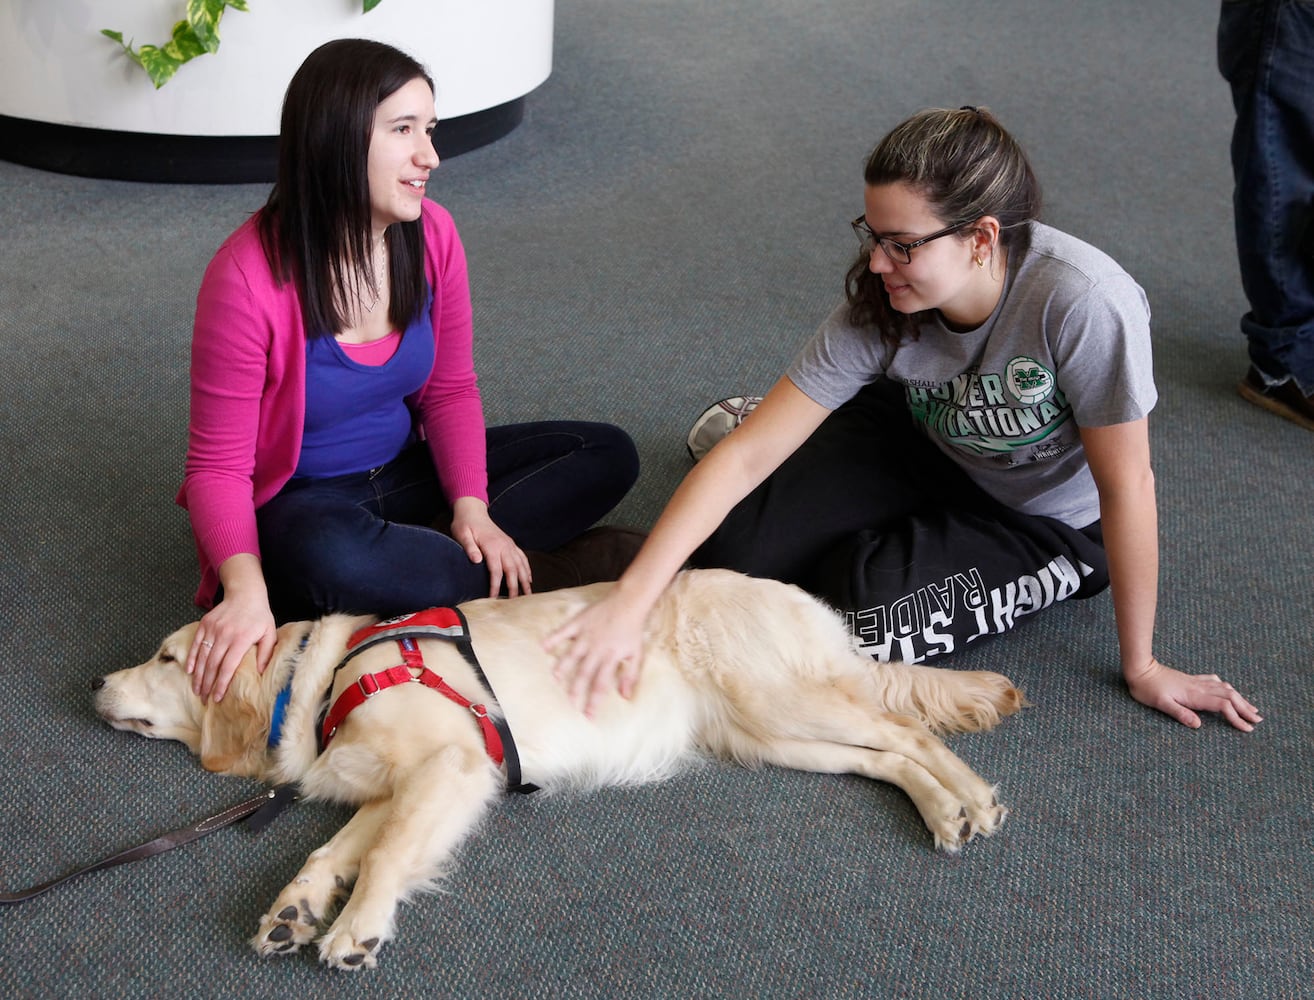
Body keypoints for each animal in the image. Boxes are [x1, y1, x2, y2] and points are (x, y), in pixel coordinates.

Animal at [95, 570, 1024, 967]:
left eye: (167, 657)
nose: (98, 683)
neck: (320, 679)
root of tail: (807, 601)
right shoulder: (401, 786)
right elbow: (339, 847)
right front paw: (295, 908)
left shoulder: (451, 766)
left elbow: (387, 855)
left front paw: (356, 928)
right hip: (771, 733)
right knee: (886, 756)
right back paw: (943, 808)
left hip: (783, 702)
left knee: (907, 733)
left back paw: (969, 801)